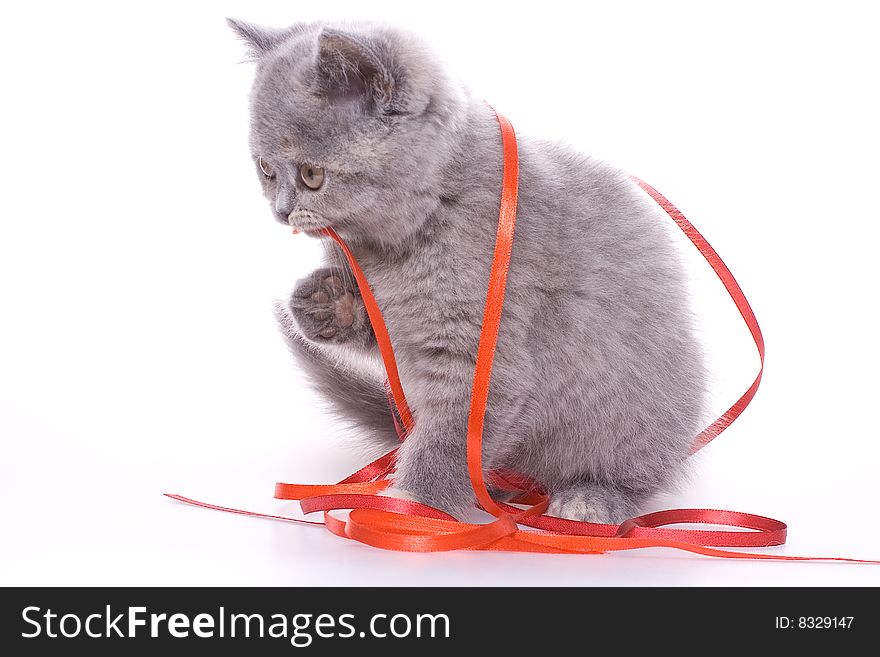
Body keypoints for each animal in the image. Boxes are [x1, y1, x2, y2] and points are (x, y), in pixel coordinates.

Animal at [227, 19, 708, 524]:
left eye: (311, 175)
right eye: (265, 170)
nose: (281, 212)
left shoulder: (483, 355)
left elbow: (450, 441)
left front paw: (409, 507)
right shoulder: (400, 328)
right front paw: (326, 303)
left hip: (640, 415)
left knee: (635, 474)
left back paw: (590, 499)